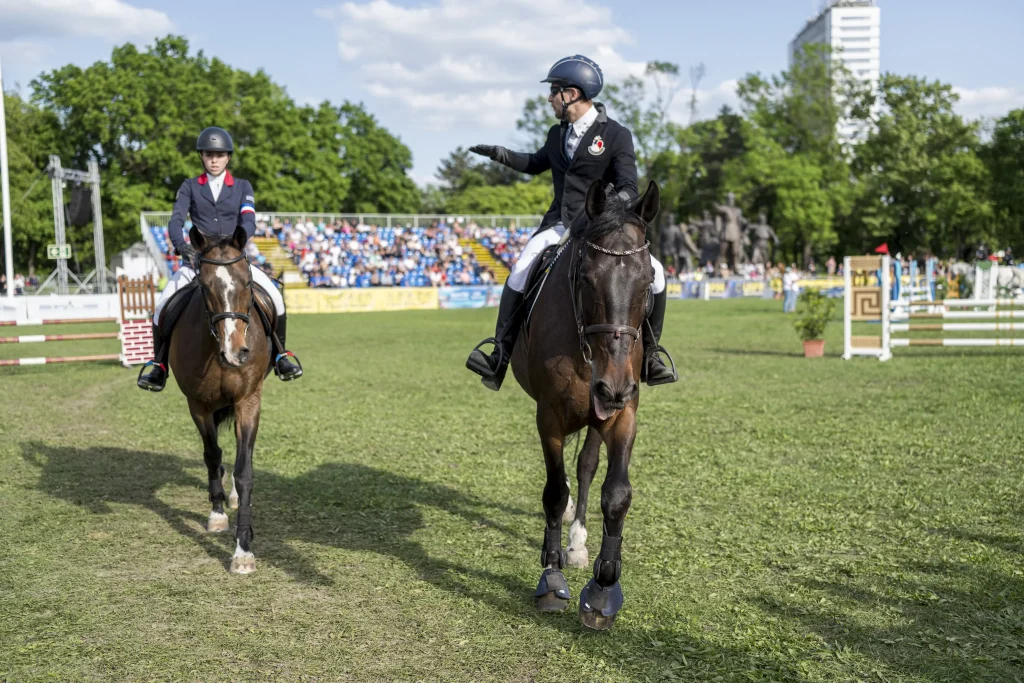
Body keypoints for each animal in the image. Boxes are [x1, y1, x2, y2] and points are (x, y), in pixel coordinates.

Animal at [168, 227, 272, 573]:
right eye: (204, 285)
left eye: (248, 282)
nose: (236, 352)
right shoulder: (197, 404)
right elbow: (212, 455)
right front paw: (217, 514)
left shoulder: (248, 401)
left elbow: (245, 471)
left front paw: (243, 549)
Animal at [509, 178, 659, 630]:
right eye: (588, 278)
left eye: (648, 280)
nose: (613, 387)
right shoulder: (549, 418)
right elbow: (554, 493)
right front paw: (552, 577)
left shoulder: (623, 413)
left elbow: (617, 493)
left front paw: (603, 589)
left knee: (587, 466)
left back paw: (577, 541)